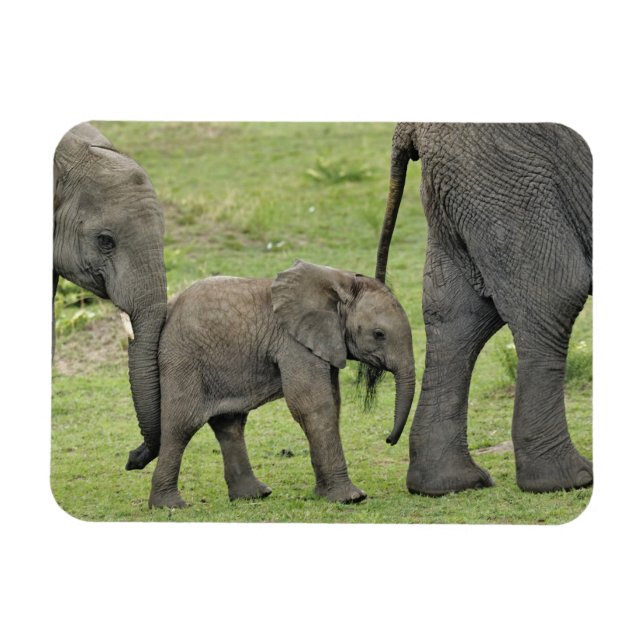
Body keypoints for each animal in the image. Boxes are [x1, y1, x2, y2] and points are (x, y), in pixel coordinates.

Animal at [148, 260, 416, 508]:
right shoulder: (293, 343)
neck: (339, 282)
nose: (389, 440)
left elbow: (332, 402)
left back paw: (254, 495)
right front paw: (351, 498)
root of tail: (170, 307)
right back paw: (169, 506)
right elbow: (312, 405)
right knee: (183, 424)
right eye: (379, 334)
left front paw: (325, 494)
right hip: (183, 359)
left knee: (229, 423)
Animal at [374, 122, 592, 495]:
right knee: (555, 293)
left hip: (467, 184)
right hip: (506, 175)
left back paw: (448, 484)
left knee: (457, 315)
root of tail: (411, 126)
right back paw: (567, 480)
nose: (387, 440)